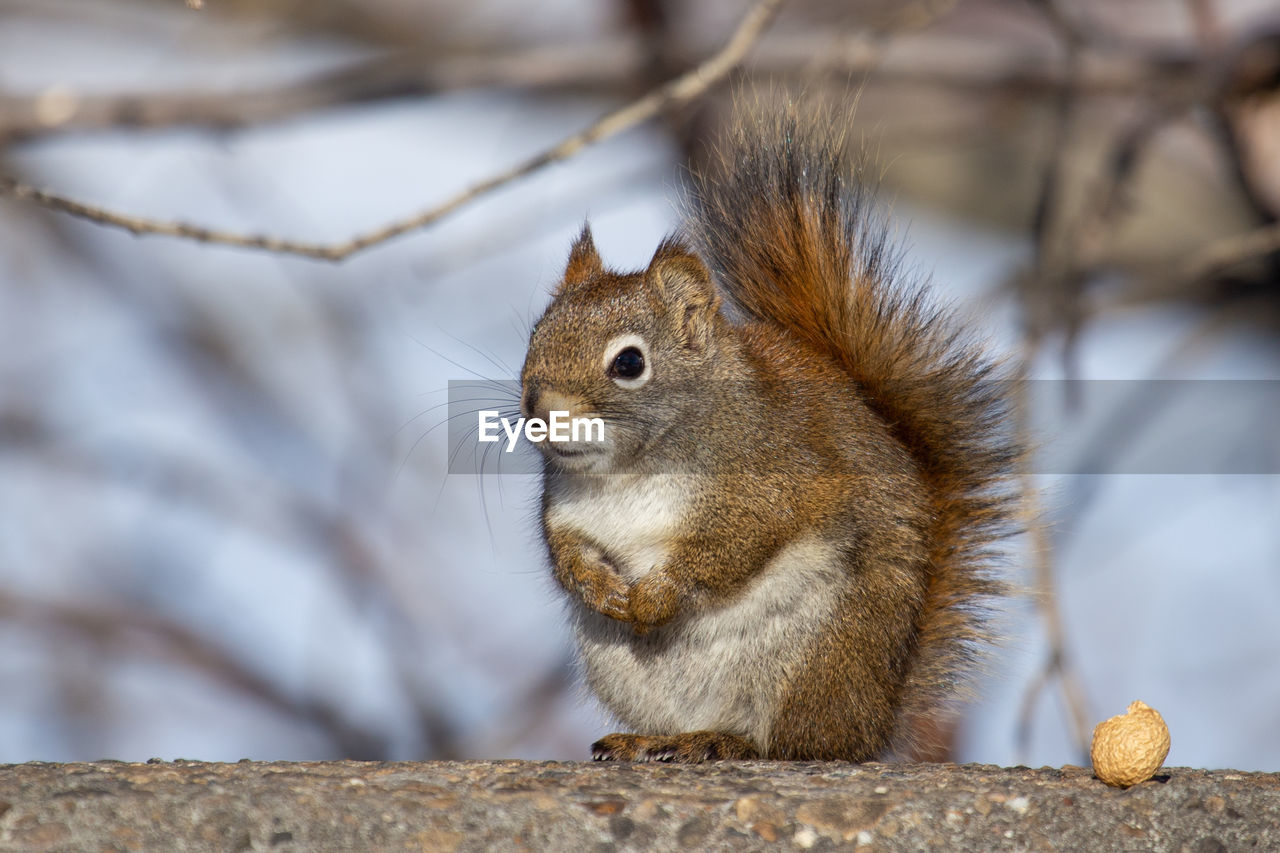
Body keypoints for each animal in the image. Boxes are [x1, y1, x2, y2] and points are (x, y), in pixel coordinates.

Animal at [514, 103, 1013, 758]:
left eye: (628, 363)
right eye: (535, 337)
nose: (540, 411)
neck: (626, 473)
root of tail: (872, 722)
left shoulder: (774, 479)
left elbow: (736, 542)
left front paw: (653, 597)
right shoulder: (567, 509)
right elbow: (565, 552)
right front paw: (600, 588)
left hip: (816, 658)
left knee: (793, 744)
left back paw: (730, 742)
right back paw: (647, 740)